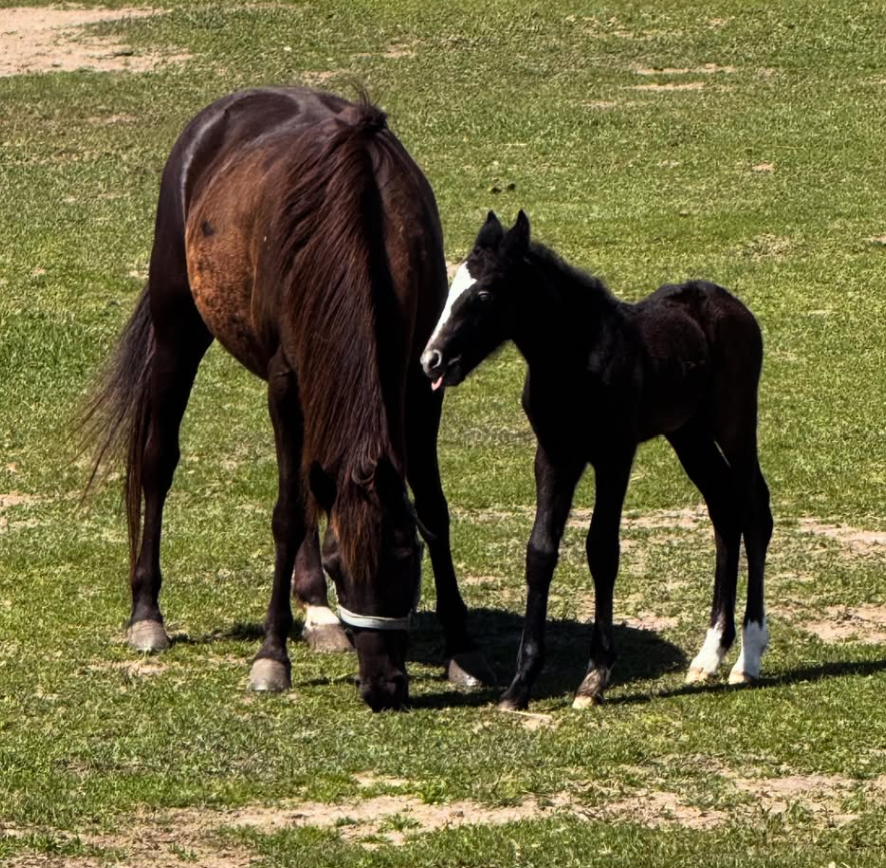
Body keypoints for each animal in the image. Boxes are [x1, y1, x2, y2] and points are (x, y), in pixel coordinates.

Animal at [81, 87, 491, 711]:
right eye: (344, 567)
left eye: (407, 560)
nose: (384, 687)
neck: (362, 224)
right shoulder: (286, 382)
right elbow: (288, 513)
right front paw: (271, 657)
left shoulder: (420, 383)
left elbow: (432, 507)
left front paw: (462, 650)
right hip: (177, 330)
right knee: (157, 461)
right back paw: (147, 614)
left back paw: (317, 613)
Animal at [421, 211, 773, 710]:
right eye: (452, 288)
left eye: (484, 294)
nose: (431, 360)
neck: (573, 361)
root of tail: (730, 306)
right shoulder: (554, 457)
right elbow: (540, 551)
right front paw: (520, 683)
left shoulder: (613, 456)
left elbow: (601, 549)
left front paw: (595, 676)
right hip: (688, 433)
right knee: (724, 509)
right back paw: (709, 656)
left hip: (734, 421)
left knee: (754, 509)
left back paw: (748, 657)